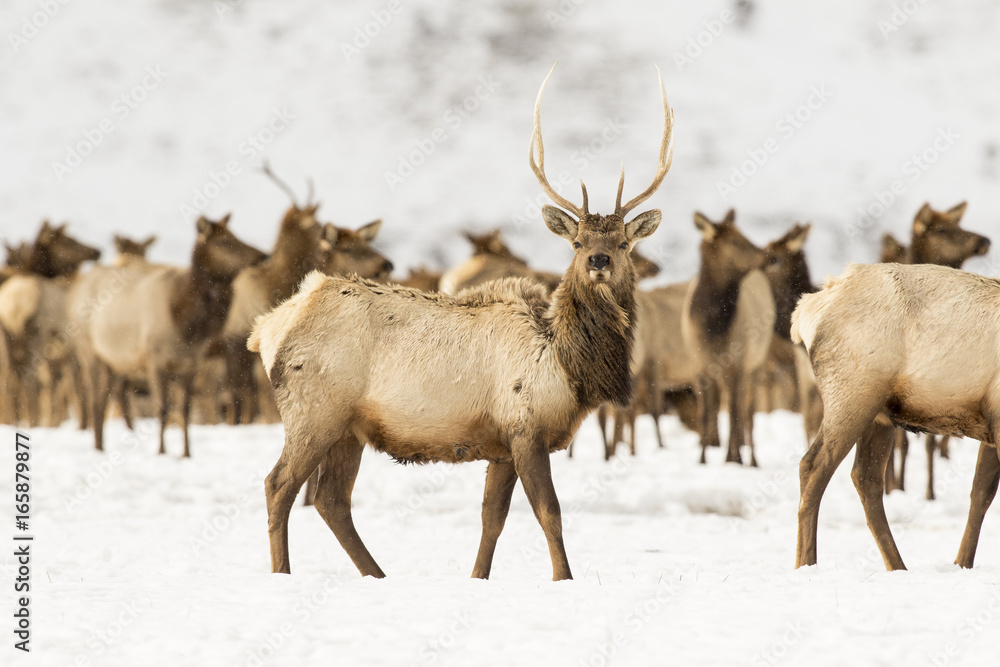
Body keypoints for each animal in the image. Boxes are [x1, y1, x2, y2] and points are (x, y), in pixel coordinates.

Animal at [69, 215, 266, 456]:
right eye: (224, 242)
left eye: (236, 236)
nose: (262, 255)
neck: (188, 327)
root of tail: (76, 288)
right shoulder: (154, 360)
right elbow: (162, 409)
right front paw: (161, 451)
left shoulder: (191, 364)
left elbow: (184, 410)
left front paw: (186, 453)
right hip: (88, 350)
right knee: (95, 400)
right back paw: (98, 448)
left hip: (114, 361)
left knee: (107, 398)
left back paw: (101, 445)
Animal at [246, 63, 673, 579]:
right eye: (577, 242)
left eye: (624, 242)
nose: (598, 261)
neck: (567, 367)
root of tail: (266, 328)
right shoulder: (524, 427)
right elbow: (549, 513)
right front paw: (564, 578)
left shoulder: (504, 444)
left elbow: (492, 518)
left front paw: (477, 577)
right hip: (313, 411)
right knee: (278, 485)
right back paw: (283, 573)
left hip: (348, 427)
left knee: (332, 500)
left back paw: (377, 575)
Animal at [681, 210, 775, 467]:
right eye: (734, 241)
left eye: (745, 236)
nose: (770, 257)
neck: (713, 327)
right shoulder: (699, 366)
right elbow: (705, 414)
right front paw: (702, 459)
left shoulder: (738, 365)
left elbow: (734, 413)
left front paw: (733, 460)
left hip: (757, 363)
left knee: (747, 412)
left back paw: (751, 460)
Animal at [791, 262, 1000, 570]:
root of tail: (808, 308)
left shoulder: (989, 423)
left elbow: (981, 493)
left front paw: (962, 564)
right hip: (853, 395)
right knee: (813, 466)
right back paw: (806, 563)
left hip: (880, 416)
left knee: (865, 477)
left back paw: (897, 566)